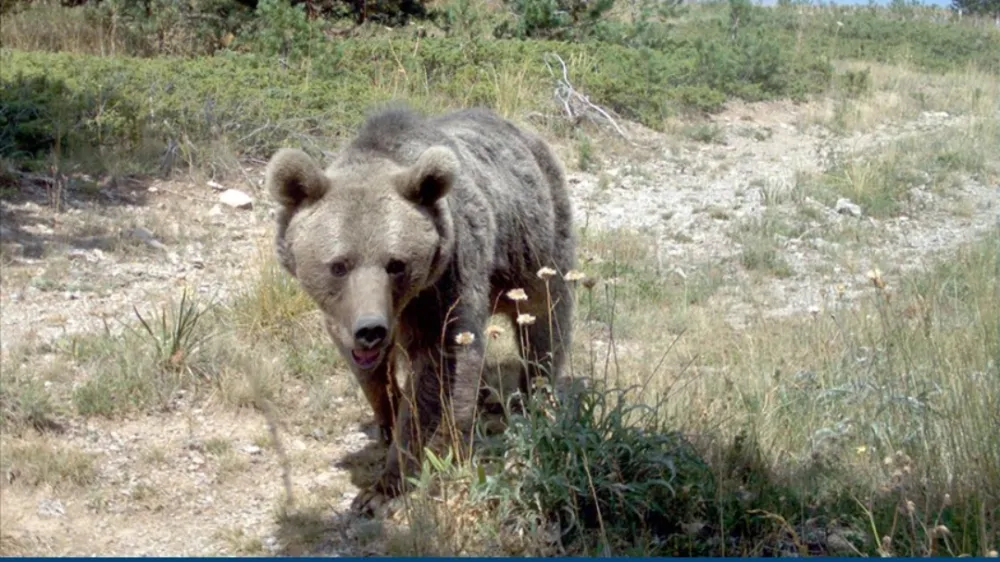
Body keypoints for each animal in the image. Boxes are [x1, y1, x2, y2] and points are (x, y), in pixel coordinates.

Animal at [266, 104, 580, 512]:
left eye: (396, 263)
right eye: (338, 265)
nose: (371, 329)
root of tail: (525, 132)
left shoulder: (445, 283)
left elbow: (440, 373)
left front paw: (386, 485)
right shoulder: (345, 315)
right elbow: (369, 372)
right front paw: (386, 418)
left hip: (534, 240)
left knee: (545, 320)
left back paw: (535, 398)